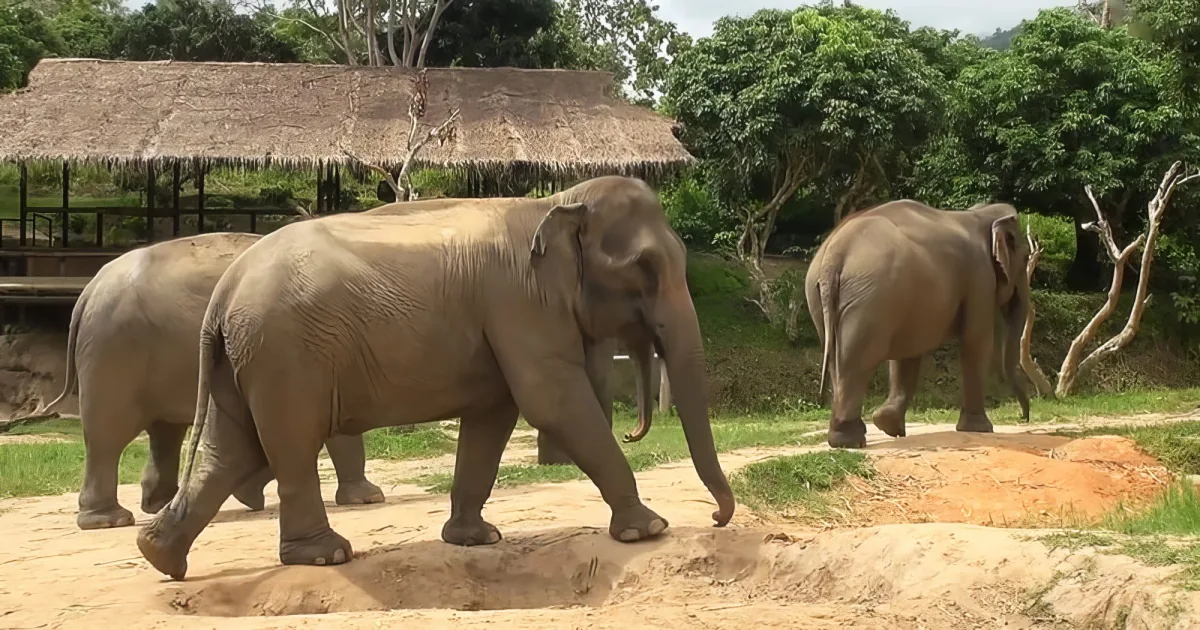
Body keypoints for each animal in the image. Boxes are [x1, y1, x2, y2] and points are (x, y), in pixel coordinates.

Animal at [36, 232, 385, 530]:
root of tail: (88, 291)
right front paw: (370, 498)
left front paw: (250, 493)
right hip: (115, 352)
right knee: (109, 435)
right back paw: (110, 520)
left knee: (164, 431)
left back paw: (159, 504)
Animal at [136, 175, 736, 580]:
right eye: (644, 268)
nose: (714, 518)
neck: (556, 201)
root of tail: (225, 290)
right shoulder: (519, 301)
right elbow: (551, 400)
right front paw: (649, 530)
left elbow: (493, 416)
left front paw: (476, 540)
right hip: (284, 354)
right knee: (289, 441)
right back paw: (326, 555)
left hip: (248, 356)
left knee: (232, 446)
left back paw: (160, 556)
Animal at [804, 199, 1032, 449]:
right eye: (1026, 259)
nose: (1024, 417)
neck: (980, 214)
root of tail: (834, 254)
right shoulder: (980, 276)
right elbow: (977, 341)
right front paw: (981, 429)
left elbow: (908, 351)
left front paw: (889, 426)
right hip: (871, 295)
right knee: (860, 357)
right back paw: (850, 440)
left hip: (826, 296)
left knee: (837, 356)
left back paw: (848, 436)